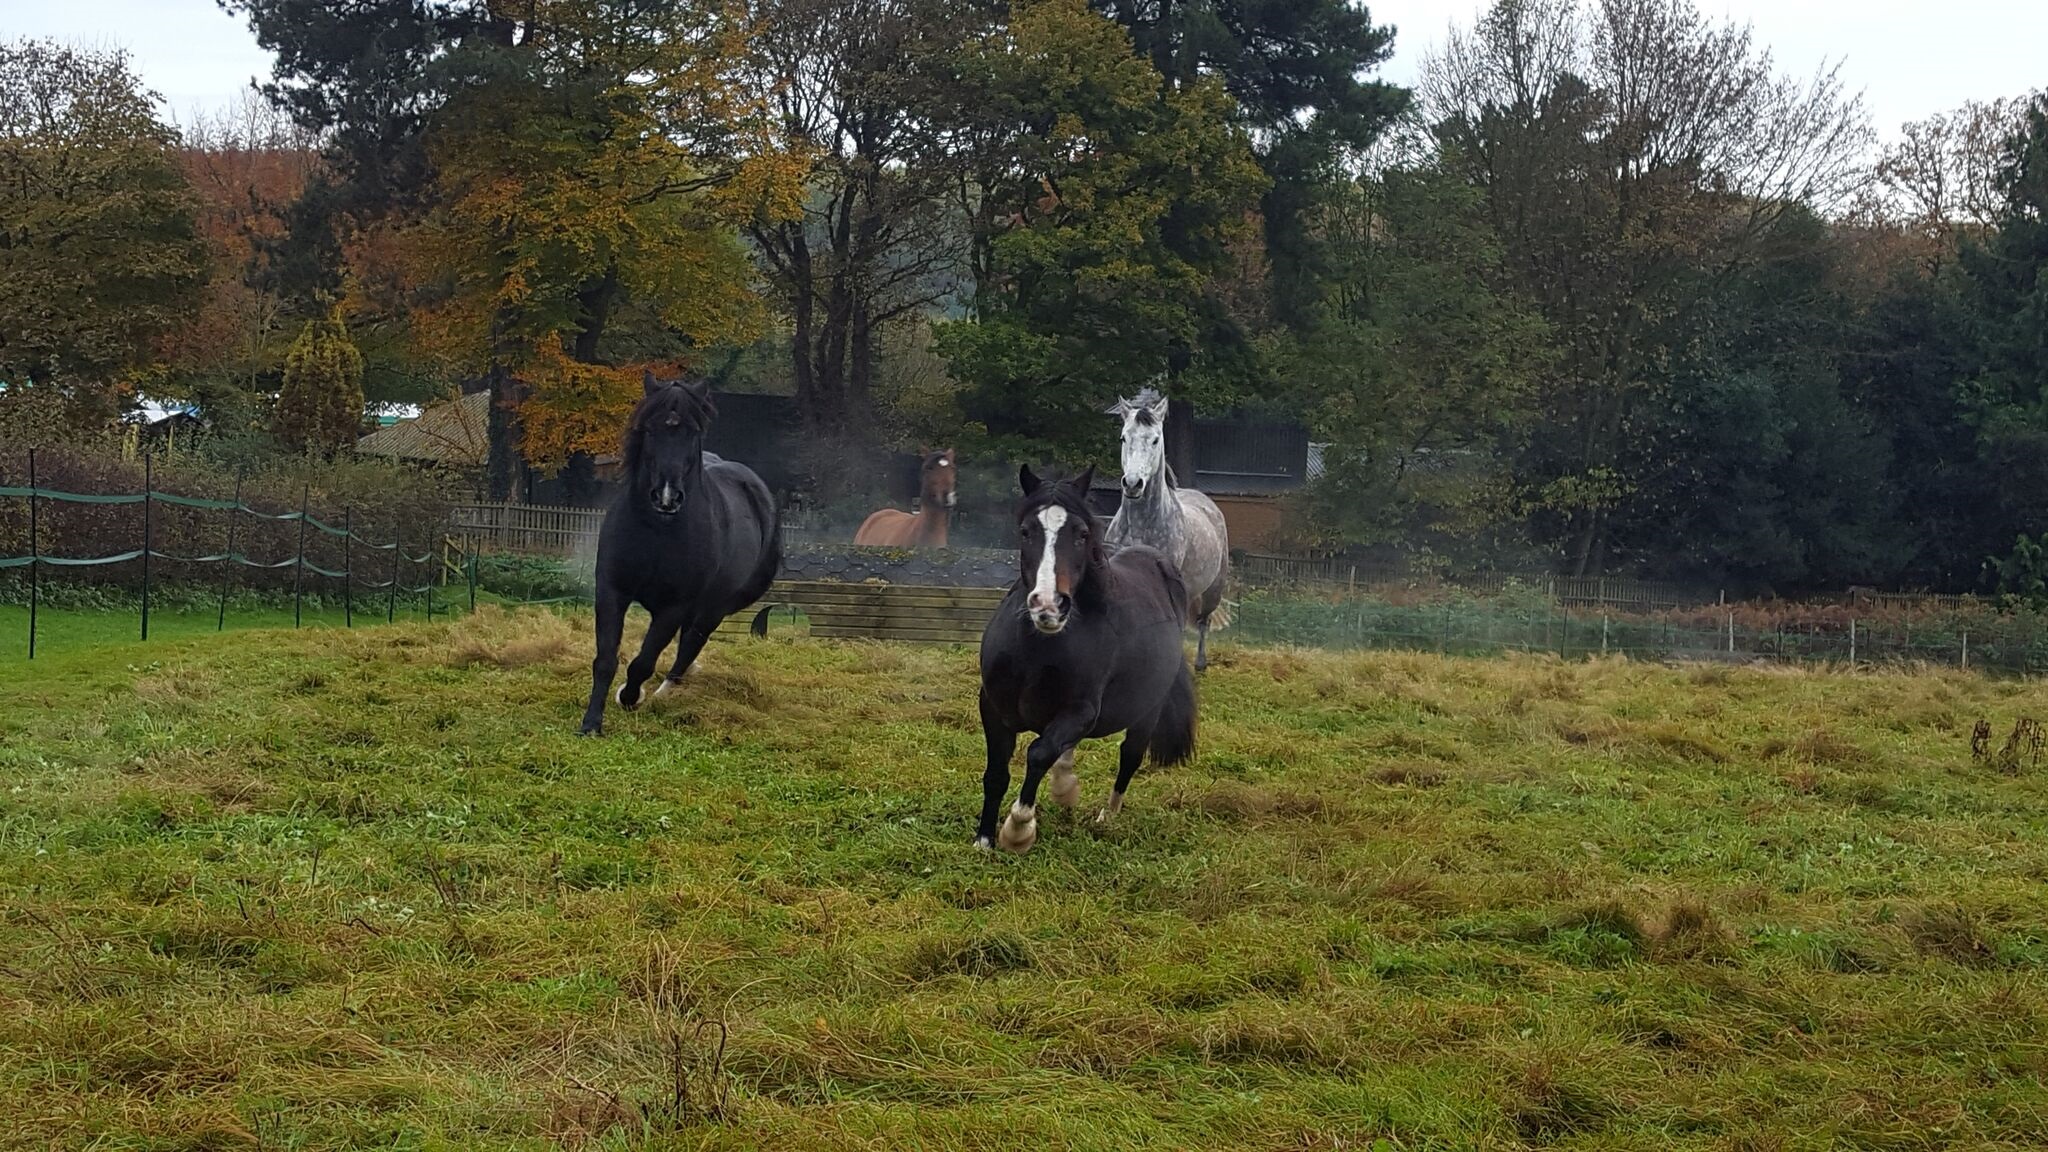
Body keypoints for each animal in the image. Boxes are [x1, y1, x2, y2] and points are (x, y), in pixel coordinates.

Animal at [580, 370, 781, 736]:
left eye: (692, 432)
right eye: (649, 429)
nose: (667, 497)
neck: (657, 530)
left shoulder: (675, 606)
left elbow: (643, 662)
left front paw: (630, 697)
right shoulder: (612, 590)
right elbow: (605, 659)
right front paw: (591, 723)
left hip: (714, 607)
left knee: (690, 645)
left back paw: (665, 692)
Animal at [974, 464, 1198, 853]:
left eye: (1081, 534)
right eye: (1026, 531)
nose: (1049, 605)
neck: (1036, 650)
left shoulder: (1080, 710)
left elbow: (1038, 753)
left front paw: (1018, 830)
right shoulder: (992, 705)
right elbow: (997, 772)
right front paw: (985, 839)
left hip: (1147, 710)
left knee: (1129, 756)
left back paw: (1107, 816)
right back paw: (1065, 786)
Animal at [1106, 387, 1230, 671]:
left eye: (1155, 440)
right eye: (1123, 438)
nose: (1133, 484)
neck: (1140, 526)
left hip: (1212, 590)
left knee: (1204, 622)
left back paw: (1200, 664)